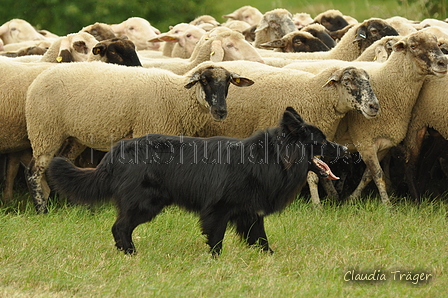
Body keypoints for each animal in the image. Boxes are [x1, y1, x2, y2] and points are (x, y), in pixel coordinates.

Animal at [25, 61, 256, 213]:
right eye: (205, 81)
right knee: (33, 172)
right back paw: (42, 210)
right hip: (44, 130)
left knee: (63, 165)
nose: (221, 112)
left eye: (228, 83)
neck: (176, 97)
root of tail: (39, 78)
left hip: (73, 137)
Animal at [46, 107, 346, 256]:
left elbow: (260, 239)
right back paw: (130, 253)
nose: (345, 149)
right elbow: (216, 239)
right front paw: (216, 261)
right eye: (322, 141)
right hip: (144, 204)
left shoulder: (250, 213)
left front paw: (269, 257)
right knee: (119, 227)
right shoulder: (218, 210)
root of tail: (116, 151)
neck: (269, 158)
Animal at [284, 30, 448, 205]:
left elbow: (369, 175)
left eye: (437, 44)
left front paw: (351, 199)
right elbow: (377, 174)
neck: (389, 81)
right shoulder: (365, 141)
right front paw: (387, 205)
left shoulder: (384, 143)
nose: (443, 62)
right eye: (414, 46)